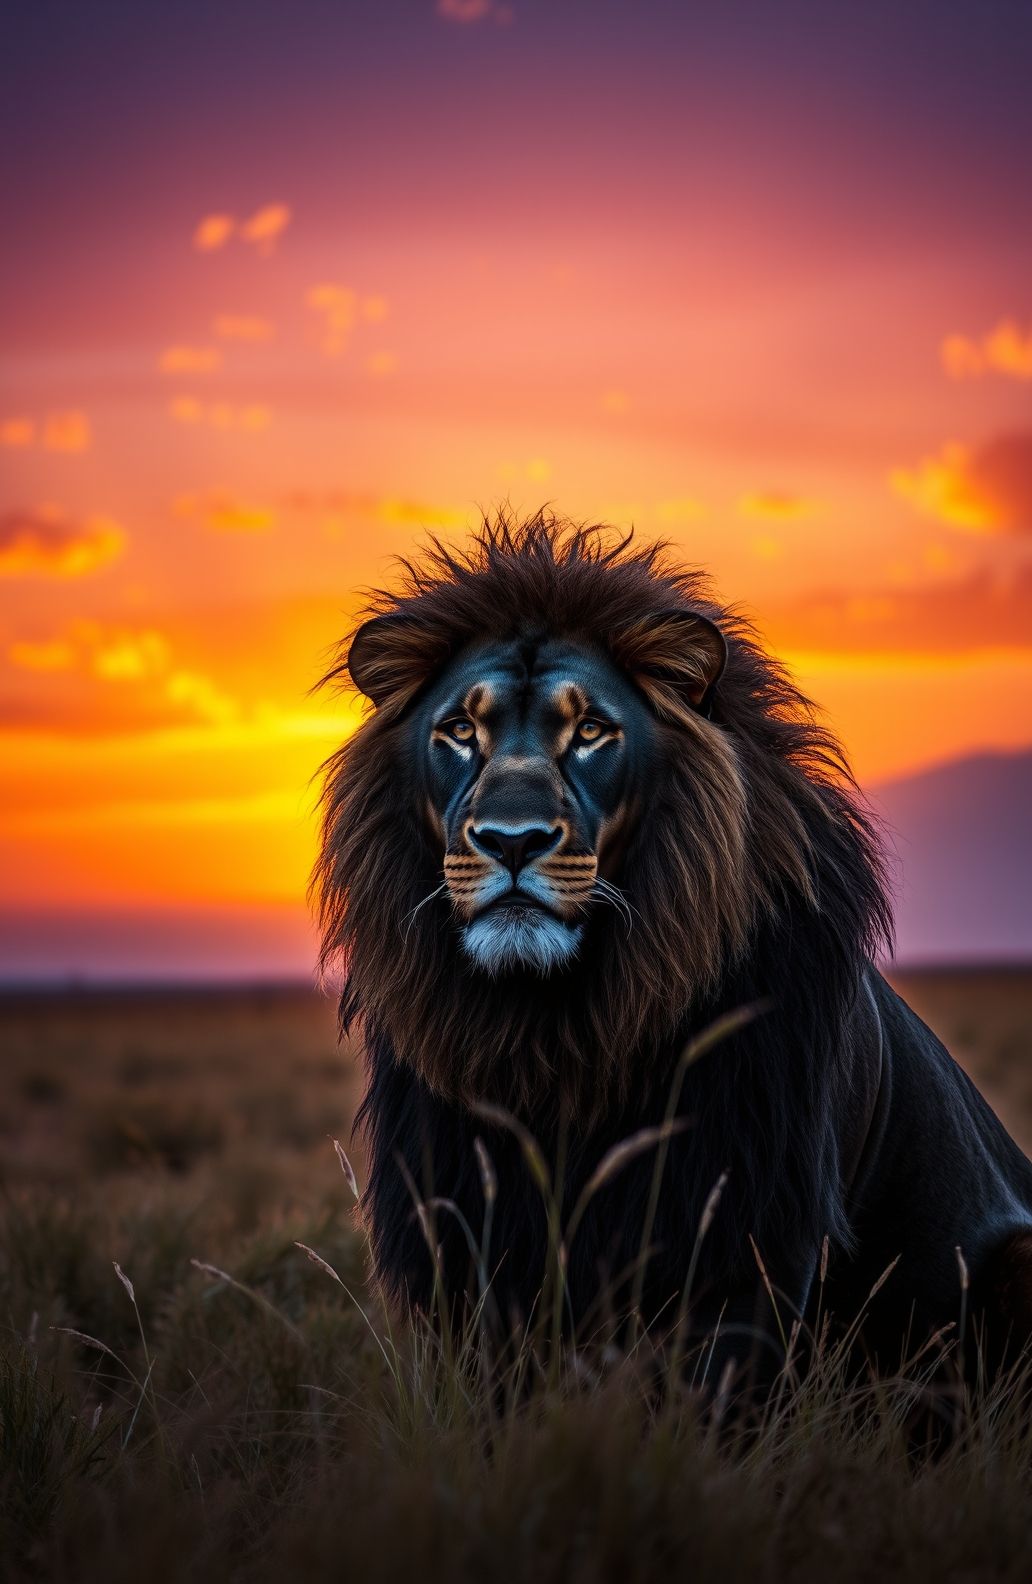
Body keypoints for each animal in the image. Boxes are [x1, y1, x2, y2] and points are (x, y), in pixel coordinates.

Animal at [313, 510, 1032, 1378]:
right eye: (458, 730)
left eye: (591, 731)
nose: (511, 840)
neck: (551, 1030)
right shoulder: (467, 1232)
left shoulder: (744, 1237)